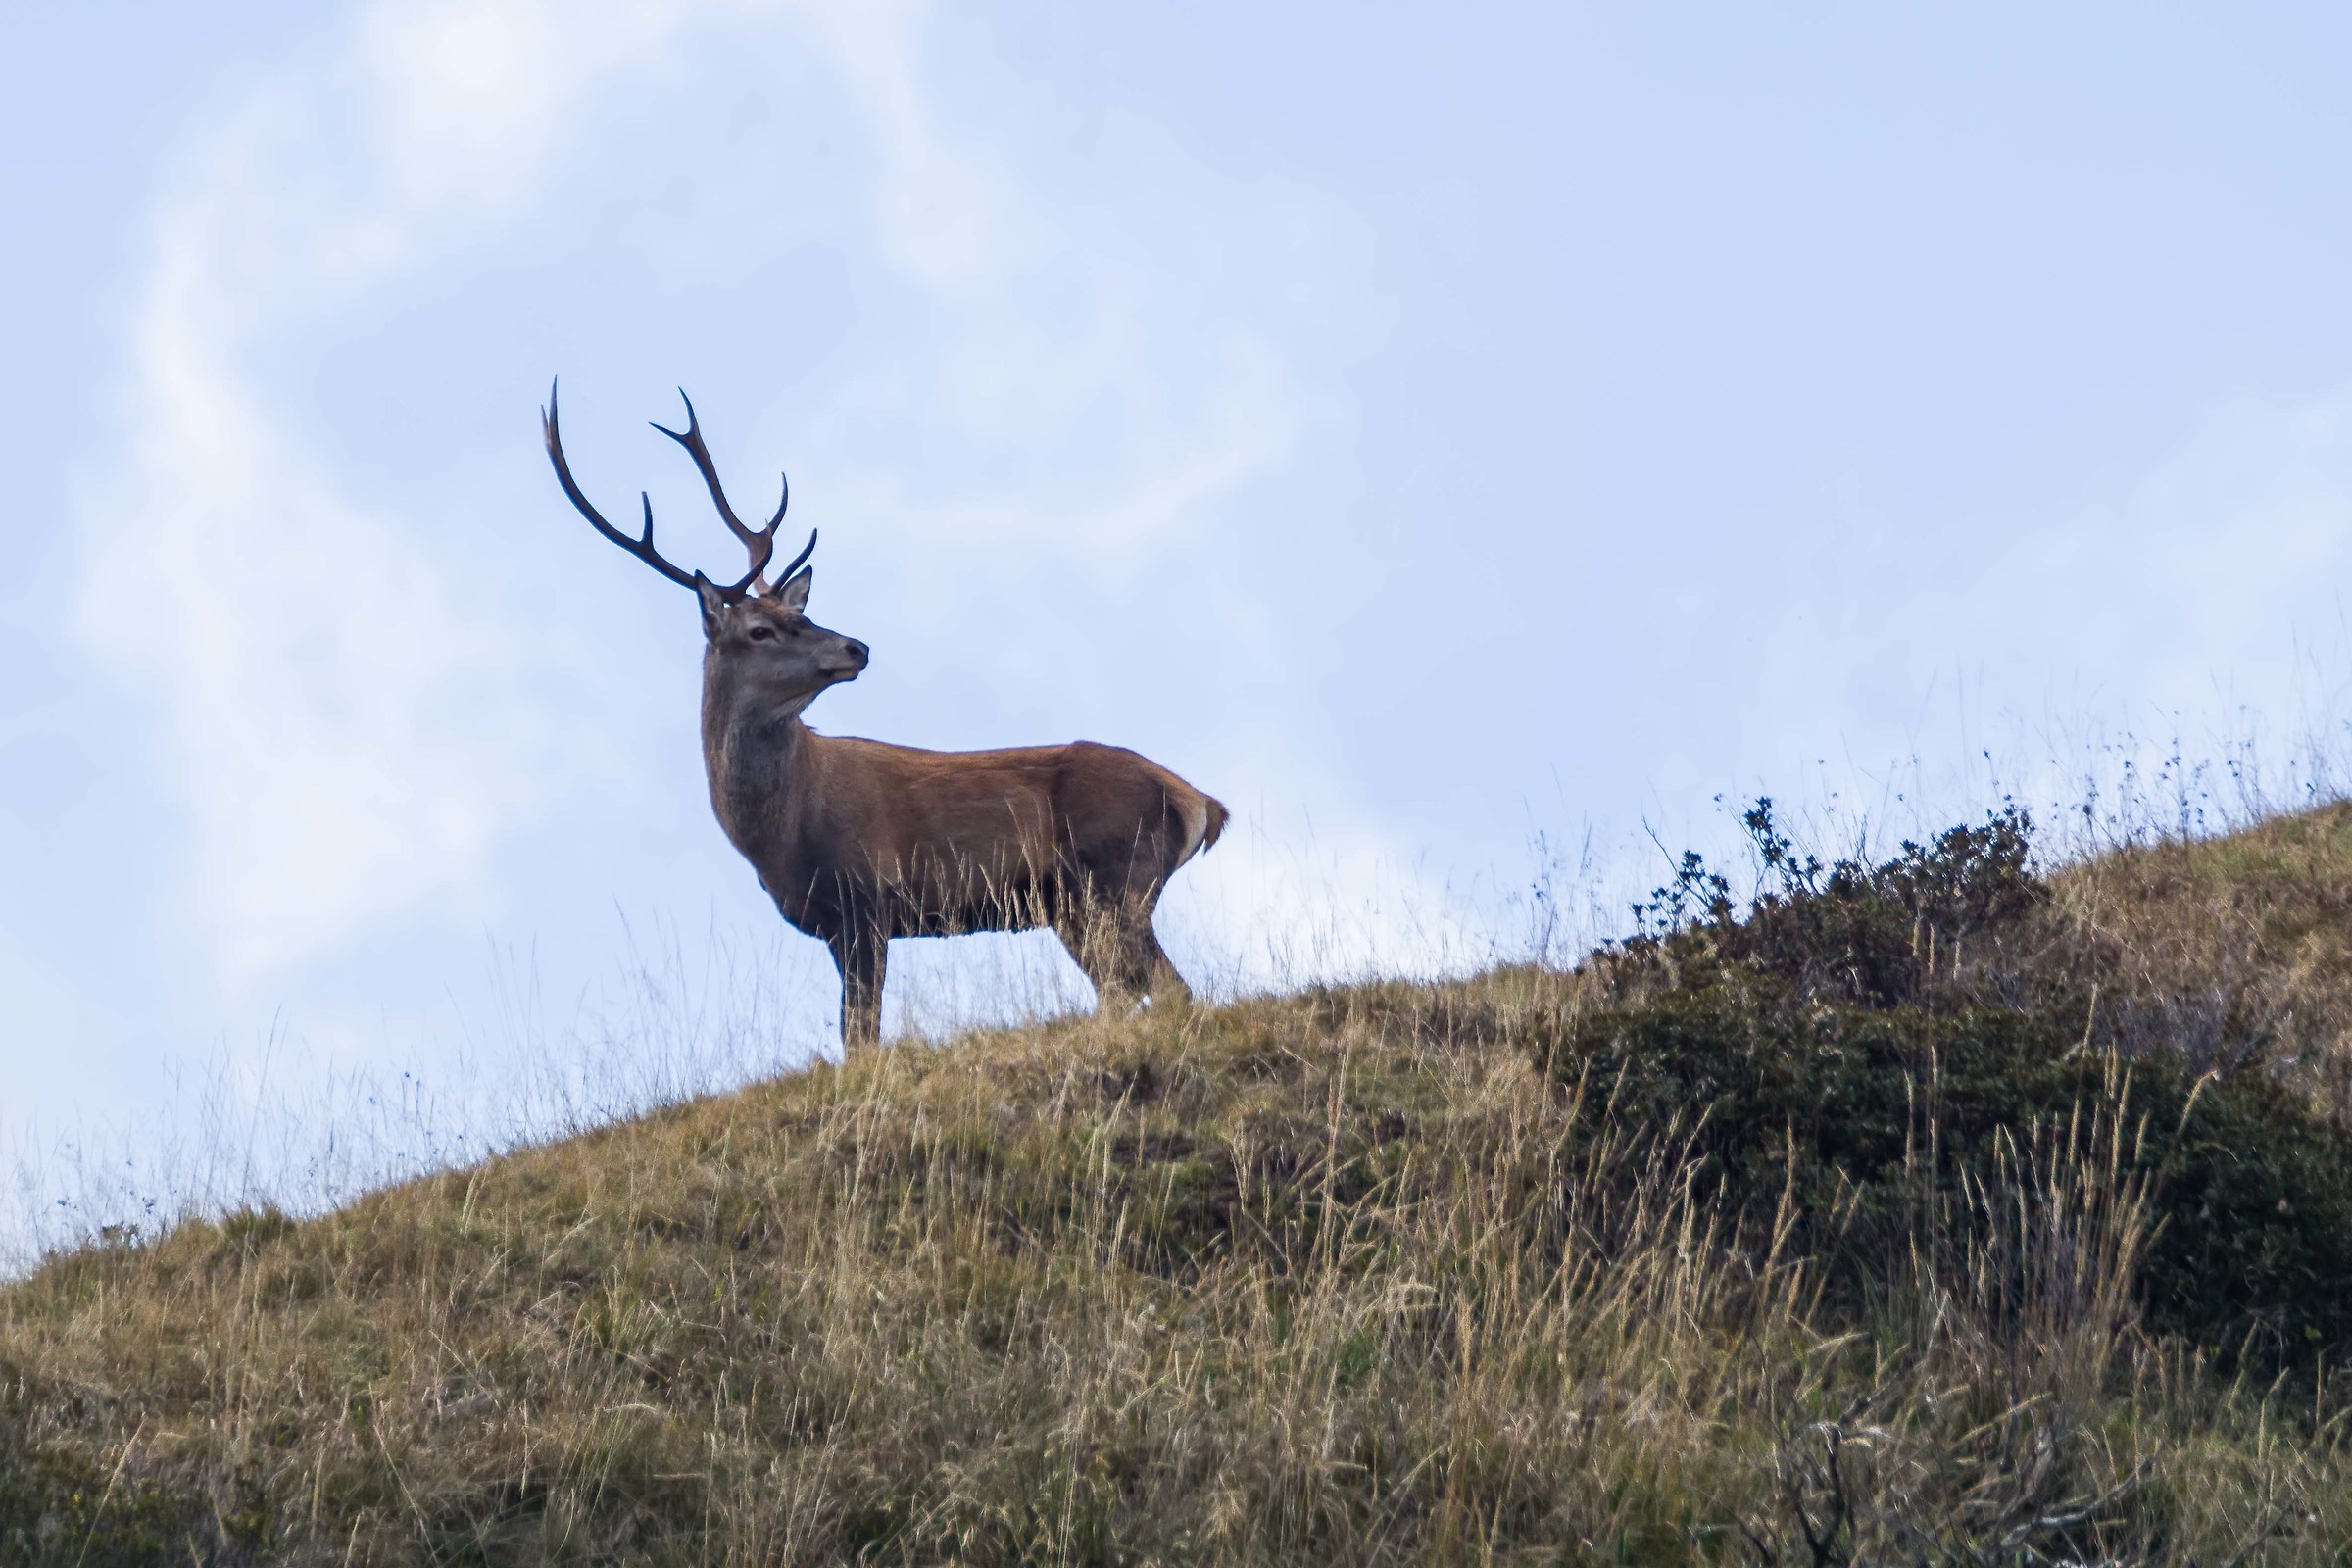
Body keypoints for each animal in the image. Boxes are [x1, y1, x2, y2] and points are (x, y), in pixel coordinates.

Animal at [543, 383, 1228, 1053]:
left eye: (800, 615)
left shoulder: (867, 896)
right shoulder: (834, 921)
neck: (783, 827)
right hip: (1075, 905)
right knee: (1146, 989)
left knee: (1160, 988)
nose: (856, 647)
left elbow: (861, 1035)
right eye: (762, 629)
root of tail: (1197, 800)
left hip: (1116, 878)